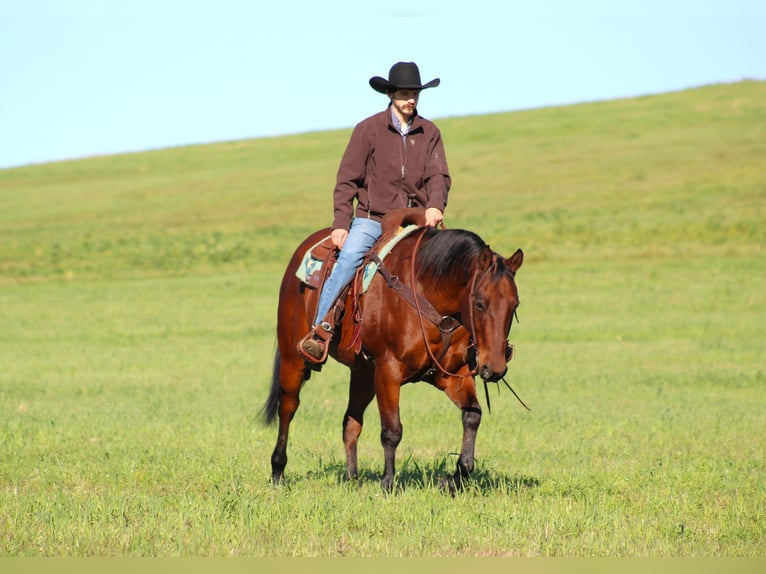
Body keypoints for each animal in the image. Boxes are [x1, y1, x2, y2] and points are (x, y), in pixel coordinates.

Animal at [260, 209, 524, 492]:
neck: (427, 294)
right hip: (293, 358)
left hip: (363, 374)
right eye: (480, 304)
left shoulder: (454, 376)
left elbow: (472, 416)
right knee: (288, 407)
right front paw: (387, 483)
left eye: (515, 305)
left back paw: (353, 479)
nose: (495, 368)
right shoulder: (388, 372)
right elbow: (392, 430)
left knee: (350, 422)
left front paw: (453, 479)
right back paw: (278, 471)